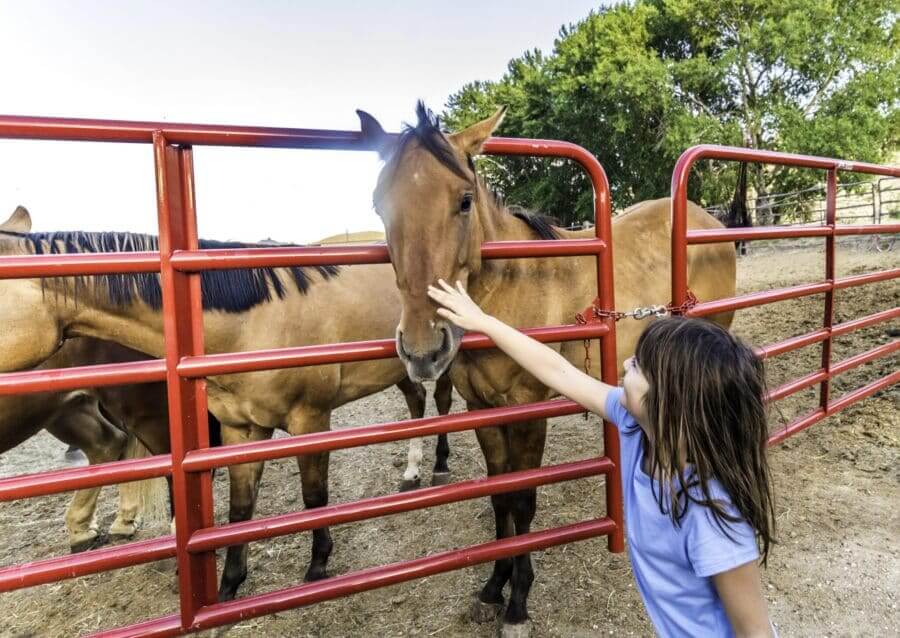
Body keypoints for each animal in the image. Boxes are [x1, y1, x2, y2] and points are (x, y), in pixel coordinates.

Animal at [0, 208, 450, 604]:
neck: (251, 324)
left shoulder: (309, 419)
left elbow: (313, 496)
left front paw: (318, 565)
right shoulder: (242, 428)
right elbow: (239, 508)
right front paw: (230, 583)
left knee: (441, 402)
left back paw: (440, 466)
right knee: (416, 403)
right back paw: (411, 472)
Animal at [356, 102, 736, 636]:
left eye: (464, 201)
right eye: (379, 204)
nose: (423, 349)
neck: (513, 285)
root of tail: (706, 219)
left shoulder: (528, 411)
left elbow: (522, 501)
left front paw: (518, 604)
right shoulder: (481, 408)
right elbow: (499, 496)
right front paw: (493, 588)